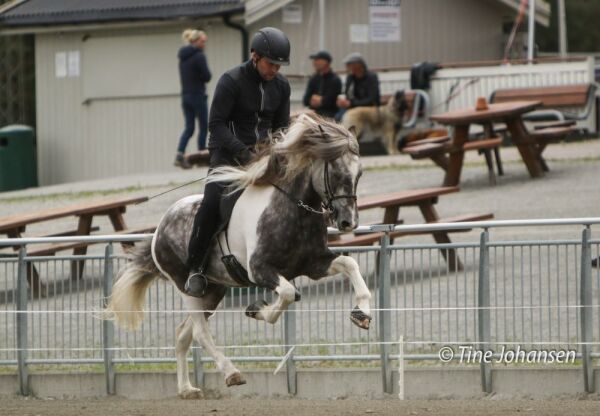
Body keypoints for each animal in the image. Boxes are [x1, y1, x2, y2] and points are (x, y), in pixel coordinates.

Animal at [105, 114, 372, 400]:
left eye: (359, 173)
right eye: (336, 173)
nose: (348, 222)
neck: (292, 210)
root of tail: (159, 228)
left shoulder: (314, 264)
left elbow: (349, 264)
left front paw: (362, 313)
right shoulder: (260, 270)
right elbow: (288, 293)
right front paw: (257, 309)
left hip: (213, 291)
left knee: (183, 334)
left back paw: (187, 389)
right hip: (188, 287)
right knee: (199, 331)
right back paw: (231, 373)